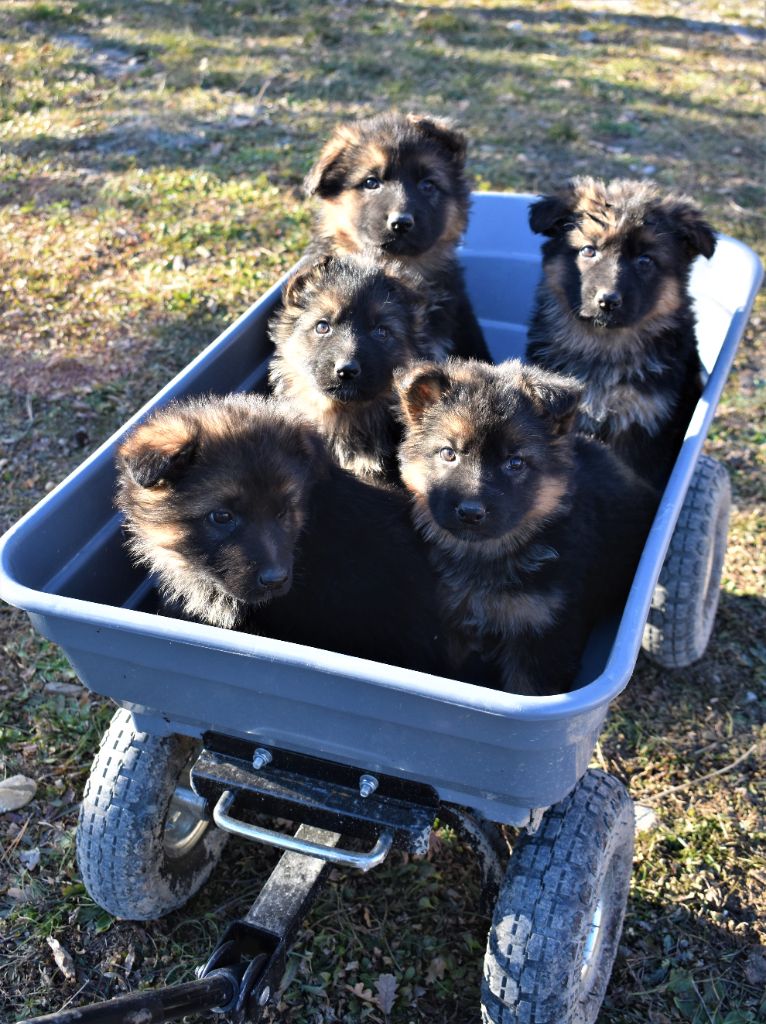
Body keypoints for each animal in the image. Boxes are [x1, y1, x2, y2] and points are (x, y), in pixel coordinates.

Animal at [397, 358, 655, 696]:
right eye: (448, 453)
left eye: (515, 463)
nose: (470, 513)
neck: (486, 556)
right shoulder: (449, 624)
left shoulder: (542, 635)